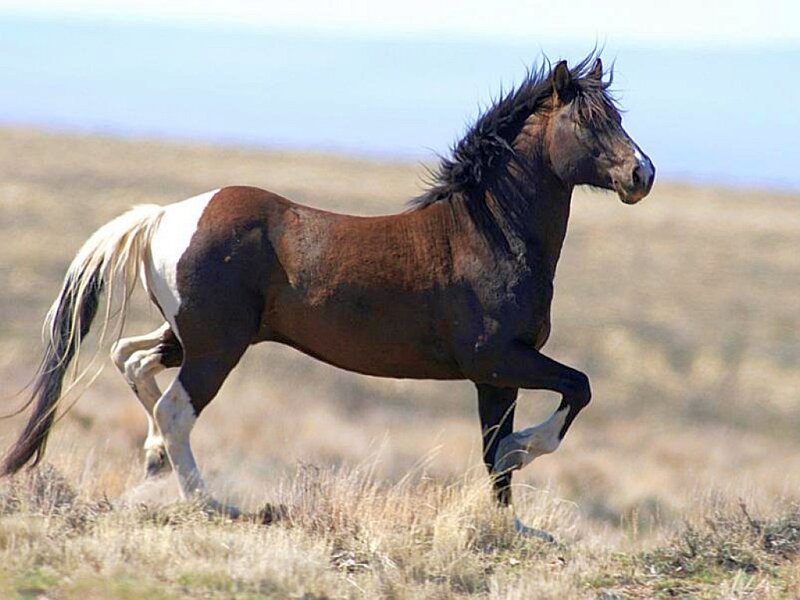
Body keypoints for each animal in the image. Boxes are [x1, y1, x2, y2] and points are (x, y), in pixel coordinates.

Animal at [2, 56, 654, 536]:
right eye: (591, 121)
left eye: (617, 115)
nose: (641, 175)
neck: (485, 231)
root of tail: (164, 216)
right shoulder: (497, 359)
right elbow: (571, 393)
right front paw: (523, 459)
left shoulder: (496, 376)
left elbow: (496, 456)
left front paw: (511, 527)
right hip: (216, 347)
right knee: (174, 408)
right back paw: (209, 502)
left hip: (190, 337)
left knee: (132, 361)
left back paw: (155, 462)